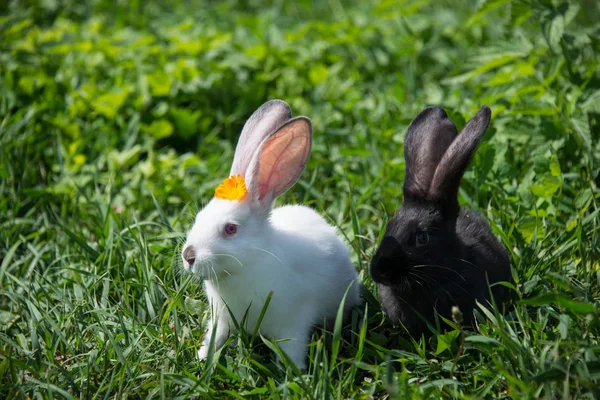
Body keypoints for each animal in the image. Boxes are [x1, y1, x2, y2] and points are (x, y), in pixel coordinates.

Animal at [182, 99, 360, 368]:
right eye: (199, 218)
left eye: (231, 229)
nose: (189, 256)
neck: (247, 266)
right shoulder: (221, 319)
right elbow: (216, 336)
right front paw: (203, 357)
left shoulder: (293, 324)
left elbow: (292, 349)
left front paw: (292, 371)